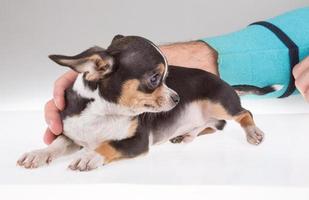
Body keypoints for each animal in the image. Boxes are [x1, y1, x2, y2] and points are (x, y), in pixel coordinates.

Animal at [18, 35, 264, 171]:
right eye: (155, 79)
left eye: (167, 76)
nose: (177, 98)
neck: (103, 112)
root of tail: (227, 83)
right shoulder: (72, 135)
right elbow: (57, 144)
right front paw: (38, 154)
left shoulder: (138, 142)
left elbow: (109, 145)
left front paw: (90, 156)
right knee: (211, 125)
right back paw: (185, 134)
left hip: (219, 103)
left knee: (244, 113)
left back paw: (253, 132)